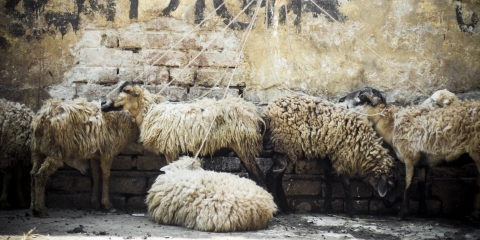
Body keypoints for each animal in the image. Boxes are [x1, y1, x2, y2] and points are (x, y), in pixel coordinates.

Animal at [101, 81, 266, 188]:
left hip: (245, 145)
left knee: (259, 175)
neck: (150, 110)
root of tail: (254, 114)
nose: (102, 103)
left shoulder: (170, 149)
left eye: (126, 90)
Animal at [262, 94, 398, 217]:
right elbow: (346, 185)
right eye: (391, 186)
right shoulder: (344, 157)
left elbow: (329, 180)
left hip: (285, 150)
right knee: (270, 177)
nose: (391, 205)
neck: (364, 146)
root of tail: (268, 112)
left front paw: (328, 207)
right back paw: (277, 209)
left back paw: (285, 208)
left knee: (278, 178)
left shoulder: (329, 156)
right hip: (284, 144)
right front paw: (352, 212)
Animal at [338, 87, 480, 219]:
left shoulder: (409, 158)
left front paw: (401, 215)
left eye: (362, 97)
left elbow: (408, 185)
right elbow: (421, 186)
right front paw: (422, 213)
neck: (392, 127)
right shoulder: (423, 163)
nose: (340, 100)